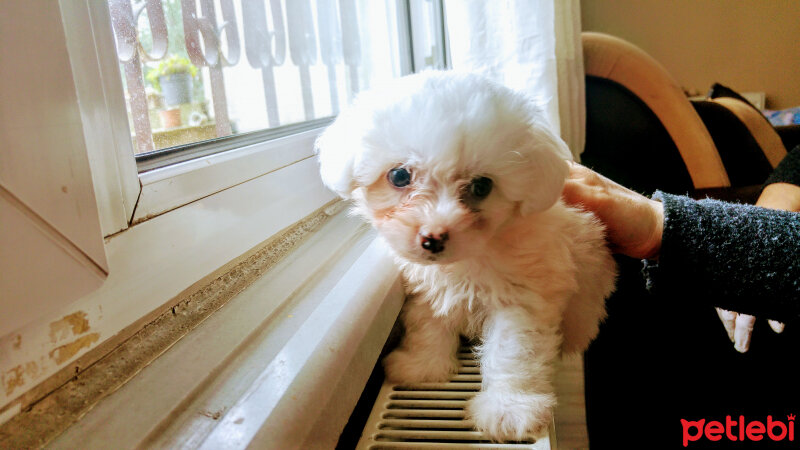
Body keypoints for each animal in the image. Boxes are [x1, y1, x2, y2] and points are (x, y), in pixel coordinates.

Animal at [316, 72, 616, 442]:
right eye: (399, 176)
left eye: (481, 186)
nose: (432, 238)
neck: (473, 256)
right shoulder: (429, 290)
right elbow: (427, 323)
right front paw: (423, 366)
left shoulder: (523, 300)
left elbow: (512, 350)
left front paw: (509, 409)